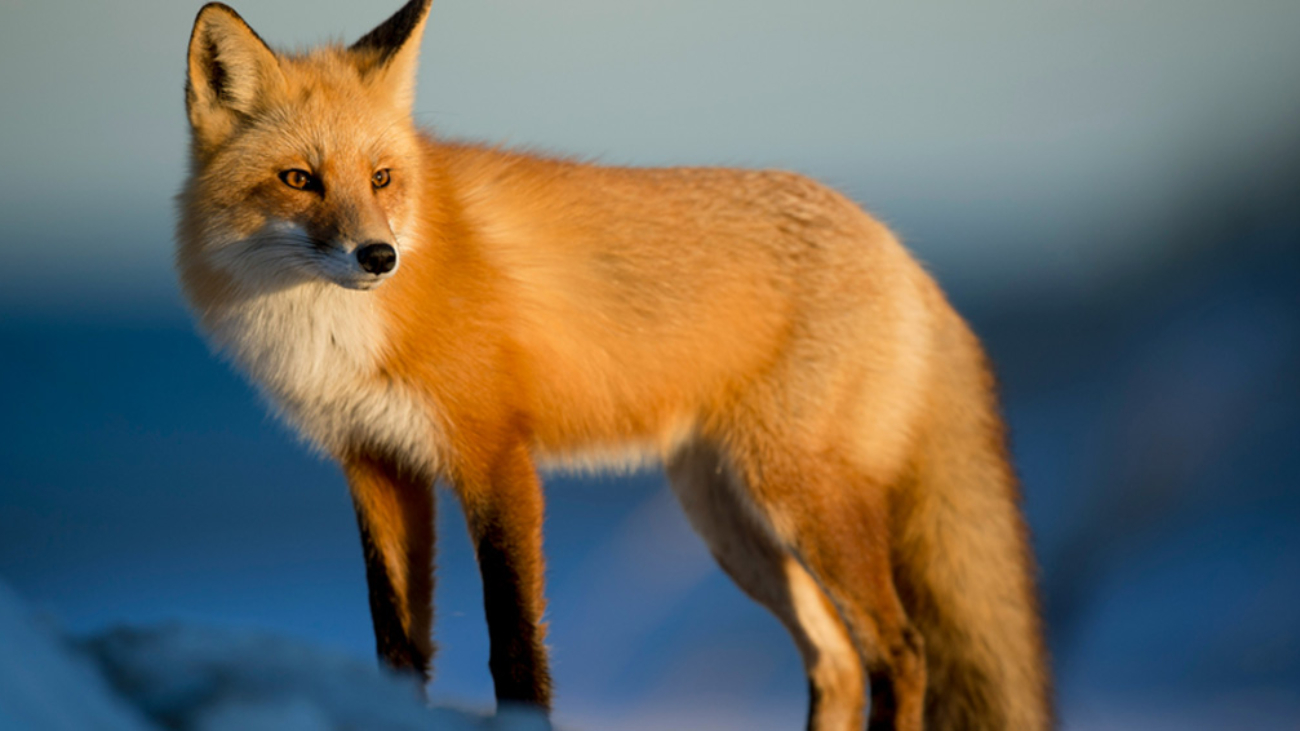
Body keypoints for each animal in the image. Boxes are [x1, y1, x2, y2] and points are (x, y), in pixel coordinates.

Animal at [176, 1, 1051, 729]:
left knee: (900, 651)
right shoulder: (375, 463)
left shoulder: (495, 456)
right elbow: (397, 644)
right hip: (729, 519)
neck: (334, 333)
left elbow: (514, 645)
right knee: (835, 659)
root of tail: (900, 250)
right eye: (299, 179)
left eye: (382, 178)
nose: (379, 256)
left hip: (801, 498)